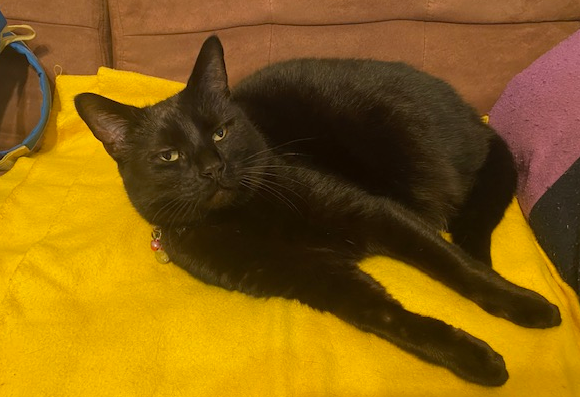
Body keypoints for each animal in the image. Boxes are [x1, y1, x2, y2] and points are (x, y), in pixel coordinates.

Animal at [75, 35, 560, 386]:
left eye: (220, 133)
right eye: (169, 156)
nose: (213, 168)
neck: (244, 217)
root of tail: (475, 116)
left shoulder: (376, 212)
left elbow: (456, 266)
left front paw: (526, 305)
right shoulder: (319, 279)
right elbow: (396, 320)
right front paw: (475, 358)